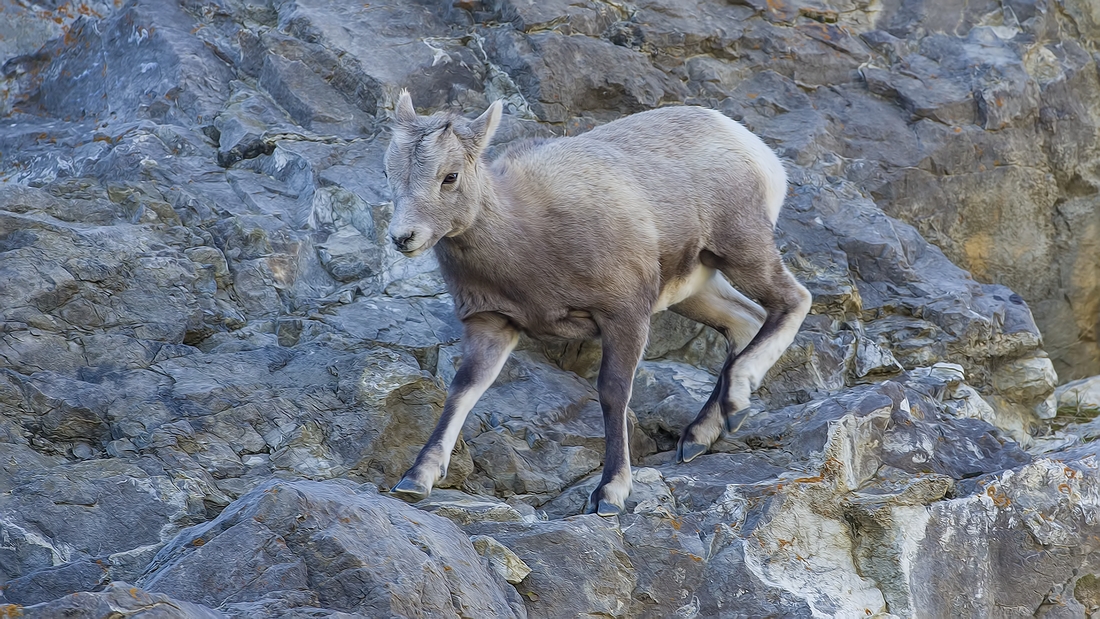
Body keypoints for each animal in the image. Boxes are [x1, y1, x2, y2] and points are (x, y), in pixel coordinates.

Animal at [382, 91, 814, 516]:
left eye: (450, 176)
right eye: (390, 172)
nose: (403, 238)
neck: (526, 234)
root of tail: (754, 148)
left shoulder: (624, 314)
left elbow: (612, 392)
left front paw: (610, 493)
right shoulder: (492, 323)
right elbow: (463, 388)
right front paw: (415, 480)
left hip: (742, 251)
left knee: (794, 300)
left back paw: (734, 406)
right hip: (693, 288)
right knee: (745, 322)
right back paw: (700, 436)